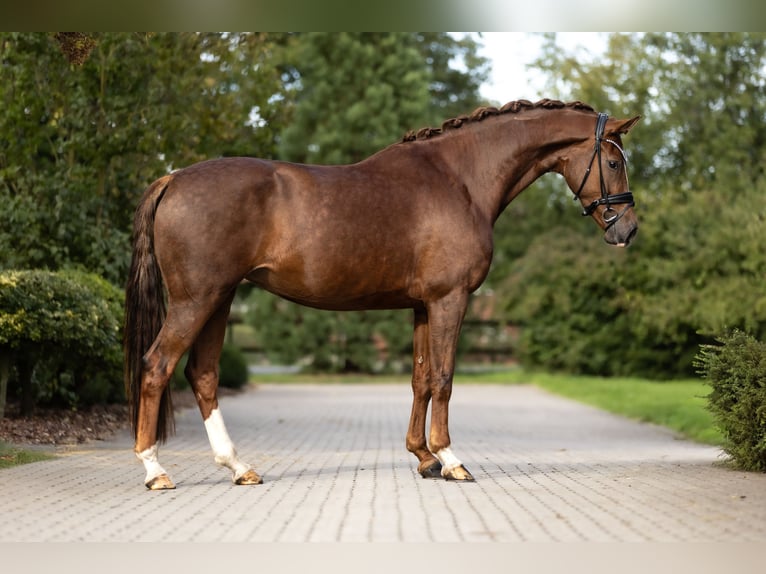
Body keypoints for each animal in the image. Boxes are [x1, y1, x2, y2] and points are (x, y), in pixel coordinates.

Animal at [124, 99, 640, 490]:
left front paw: (423, 457)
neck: (460, 179)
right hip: (197, 300)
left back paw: (238, 467)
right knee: (157, 366)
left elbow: (420, 379)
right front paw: (450, 460)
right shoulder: (450, 299)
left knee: (203, 374)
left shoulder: (422, 306)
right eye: (614, 162)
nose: (628, 230)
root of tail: (173, 179)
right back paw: (155, 470)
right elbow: (444, 377)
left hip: (221, 298)